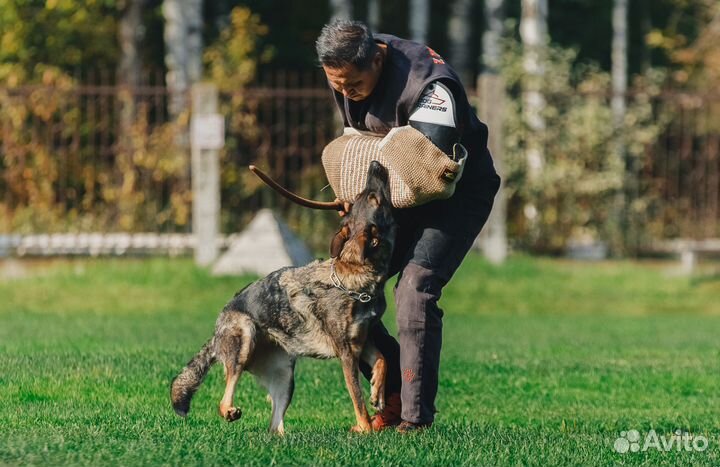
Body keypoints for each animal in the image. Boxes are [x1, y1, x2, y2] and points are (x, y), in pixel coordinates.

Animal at [172, 162, 396, 436]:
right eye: (373, 198)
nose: (375, 164)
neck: (355, 277)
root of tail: (218, 326)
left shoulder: (364, 342)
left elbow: (382, 361)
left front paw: (378, 395)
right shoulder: (347, 353)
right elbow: (357, 397)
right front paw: (365, 429)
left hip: (285, 378)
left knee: (274, 426)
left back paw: (284, 438)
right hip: (244, 341)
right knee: (225, 396)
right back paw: (230, 412)